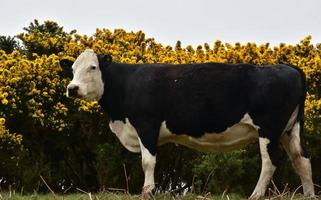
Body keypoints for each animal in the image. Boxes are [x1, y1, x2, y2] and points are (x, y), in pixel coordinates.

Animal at [58, 49, 314, 199]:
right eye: (72, 69)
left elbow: (148, 162)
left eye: (92, 67)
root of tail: (289, 68)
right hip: (289, 129)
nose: (73, 88)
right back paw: (309, 194)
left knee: (271, 161)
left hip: (269, 128)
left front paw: (147, 191)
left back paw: (256, 195)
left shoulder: (147, 124)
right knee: (301, 159)